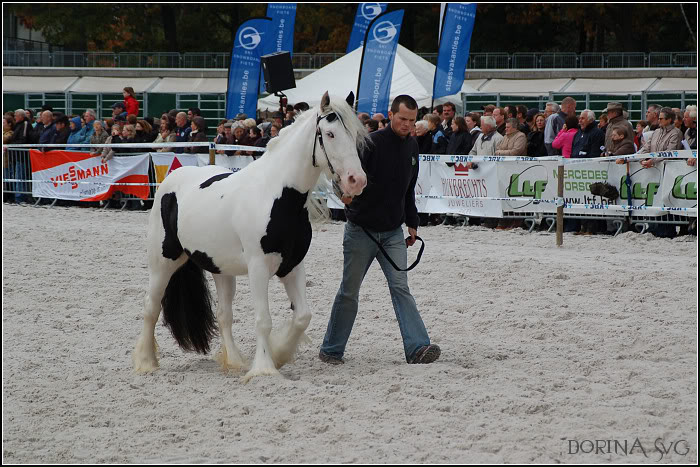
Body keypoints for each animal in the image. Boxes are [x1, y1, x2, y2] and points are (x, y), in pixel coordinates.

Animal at [133, 92, 370, 384]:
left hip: (221, 270)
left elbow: (303, 316)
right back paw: (146, 362)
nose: (356, 181)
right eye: (330, 133)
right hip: (162, 263)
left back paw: (234, 362)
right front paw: (264, 369)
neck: (276, 196)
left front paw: (279, 354)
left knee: (224, 315)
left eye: (355, 135)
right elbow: (263, 320)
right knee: (151, 307)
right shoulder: (258, 268)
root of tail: (172, 179)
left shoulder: (292, 266)